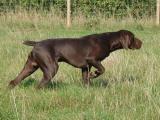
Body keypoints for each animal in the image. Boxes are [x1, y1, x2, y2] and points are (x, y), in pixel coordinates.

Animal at [8, 29, 142, 88]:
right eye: (133, 37)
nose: (142, 43)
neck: (108, 40)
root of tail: (37, 43)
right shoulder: (92, 60)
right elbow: (102, 70)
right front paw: (94, 74)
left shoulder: (86, 66)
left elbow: (86, 80)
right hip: (51, 68)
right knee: (39, 85)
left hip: (30, 66)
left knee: (14, 80)